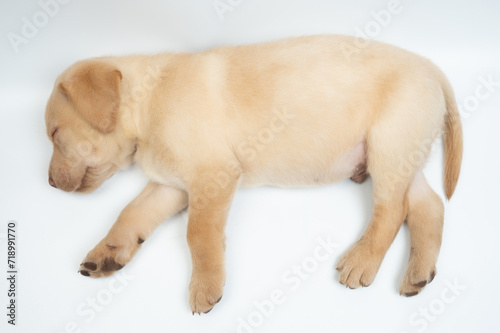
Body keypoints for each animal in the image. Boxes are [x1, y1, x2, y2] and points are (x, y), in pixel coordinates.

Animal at [45, 35, 462, 312]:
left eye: (54, 133)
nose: (48, 183)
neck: (148, 102)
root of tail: (433, 69)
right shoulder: (169, 186)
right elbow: (131, 213)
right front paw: (107, 252)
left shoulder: (212, 176)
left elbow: (197, 234)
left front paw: (206, 285)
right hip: (403, 153)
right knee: (429, 206)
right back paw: (418, 273)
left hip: (388, 146)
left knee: (392, 211)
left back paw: (362, 261)